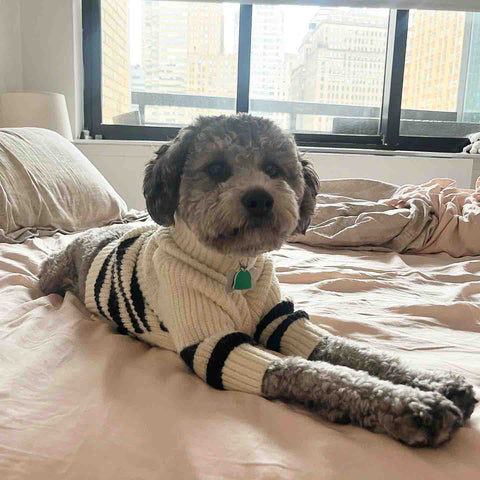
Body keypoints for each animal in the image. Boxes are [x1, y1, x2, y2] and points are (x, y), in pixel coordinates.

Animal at [40, 112, 476, 446]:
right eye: (216, 169)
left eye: (273, 169)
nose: (259, 197)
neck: (235, 267)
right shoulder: (219, 348)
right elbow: (310, 372)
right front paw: (410, 406)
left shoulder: (283, 321)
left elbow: (354, 353)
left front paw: (433, 381)